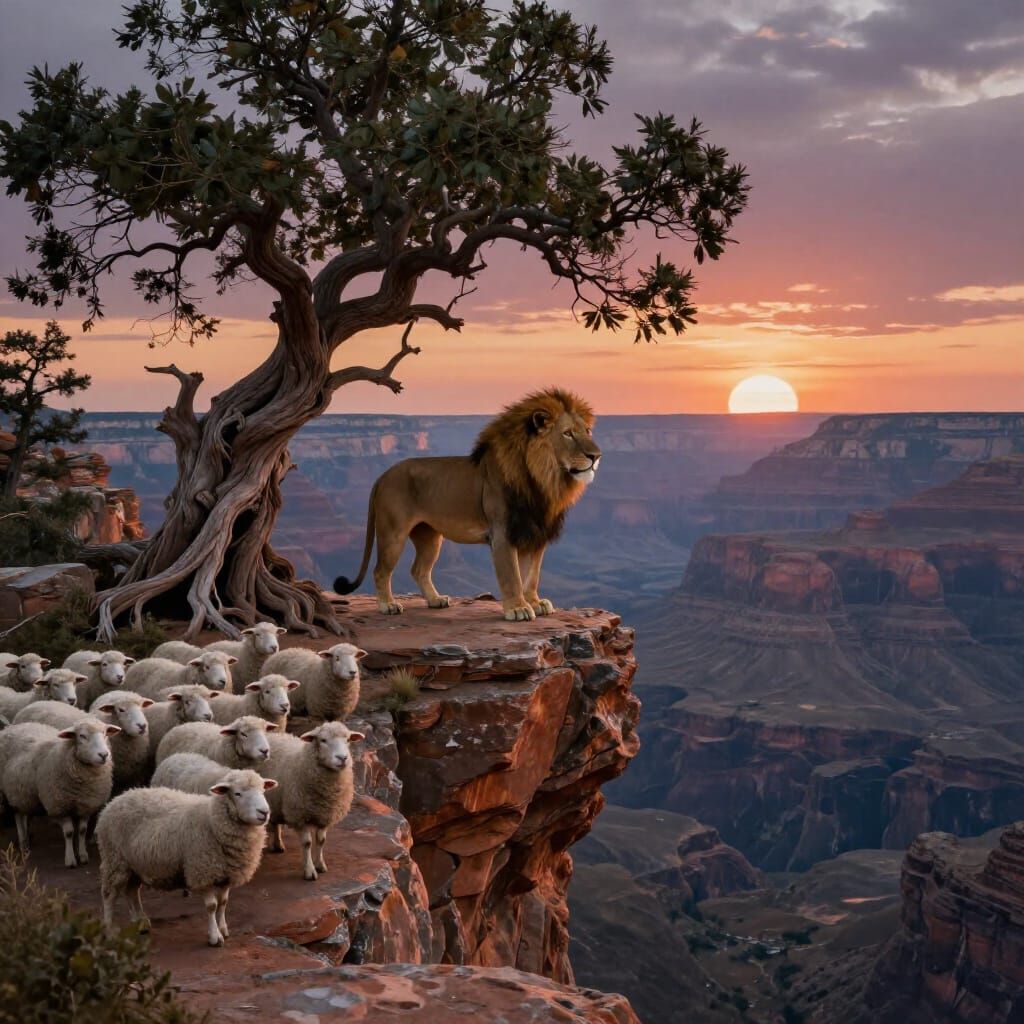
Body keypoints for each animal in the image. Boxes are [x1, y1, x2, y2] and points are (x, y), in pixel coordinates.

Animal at [0, 718, 118, 867]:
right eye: (82, 736)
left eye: (105, 733)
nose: (103, 755)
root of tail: (14, 726)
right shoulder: (59, 806)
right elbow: (68, 832)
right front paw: (70, 859)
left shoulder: (86, 805)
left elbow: (82, 831)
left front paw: (83, 855)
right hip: (12, 792)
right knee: (18, 816)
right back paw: (23, 844)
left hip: (23, 793)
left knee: (24, 814)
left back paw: (26, 840)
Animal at [96, 769, 276, 946]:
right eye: (238, 793)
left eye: (263, 790)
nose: (264, 812)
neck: (211, 820)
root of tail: (116, 800)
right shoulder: (203, 871)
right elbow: (212, 906)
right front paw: (215, 936)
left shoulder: (226, 873)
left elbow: (223, 902)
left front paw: (223, 929)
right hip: (114, 859)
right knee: (109, 894)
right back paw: (110, 931)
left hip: (135, 864)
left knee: (132, 891)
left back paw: (140, 922)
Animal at [256, 721, 364, 881]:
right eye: (323, 740)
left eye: (348, 740)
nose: (342, 758)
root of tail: (271, 734)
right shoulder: (301, 815)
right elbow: (307, 843)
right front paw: (309, 870)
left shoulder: (325, 814)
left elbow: (321, 841)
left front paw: (320, 865)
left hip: (276, 801)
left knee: (276, 824)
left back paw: (278, 844)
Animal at [333, 388, 601, 621]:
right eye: (568, 433)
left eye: (588, 431)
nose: (596, 456)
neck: (544, 481)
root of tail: (382, 475)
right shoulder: (503, 533)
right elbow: (512, 575)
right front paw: (518, 609)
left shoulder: (533, 533)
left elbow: (532, 575)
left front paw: (534, 602)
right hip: (393, 533)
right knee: (381, 570)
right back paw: (388, 605)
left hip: (429, 536)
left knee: (419, 569)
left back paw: (436, 600)